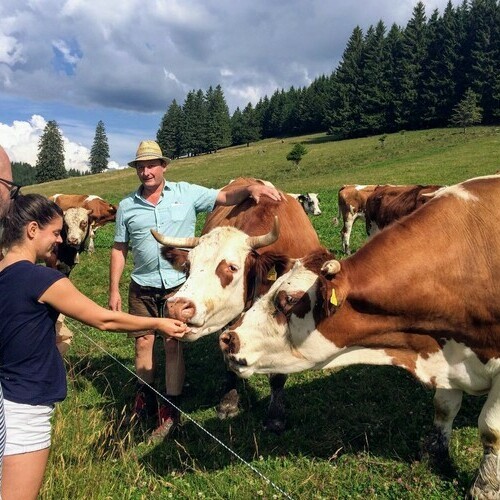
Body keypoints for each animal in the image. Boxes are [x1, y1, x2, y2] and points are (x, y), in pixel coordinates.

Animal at [221, 174, 500, 498]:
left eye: (289, 300)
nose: (228, 338)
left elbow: (490, 429)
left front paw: (484, 487)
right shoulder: (443, 351)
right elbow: (444, 408)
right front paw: (435, 453)